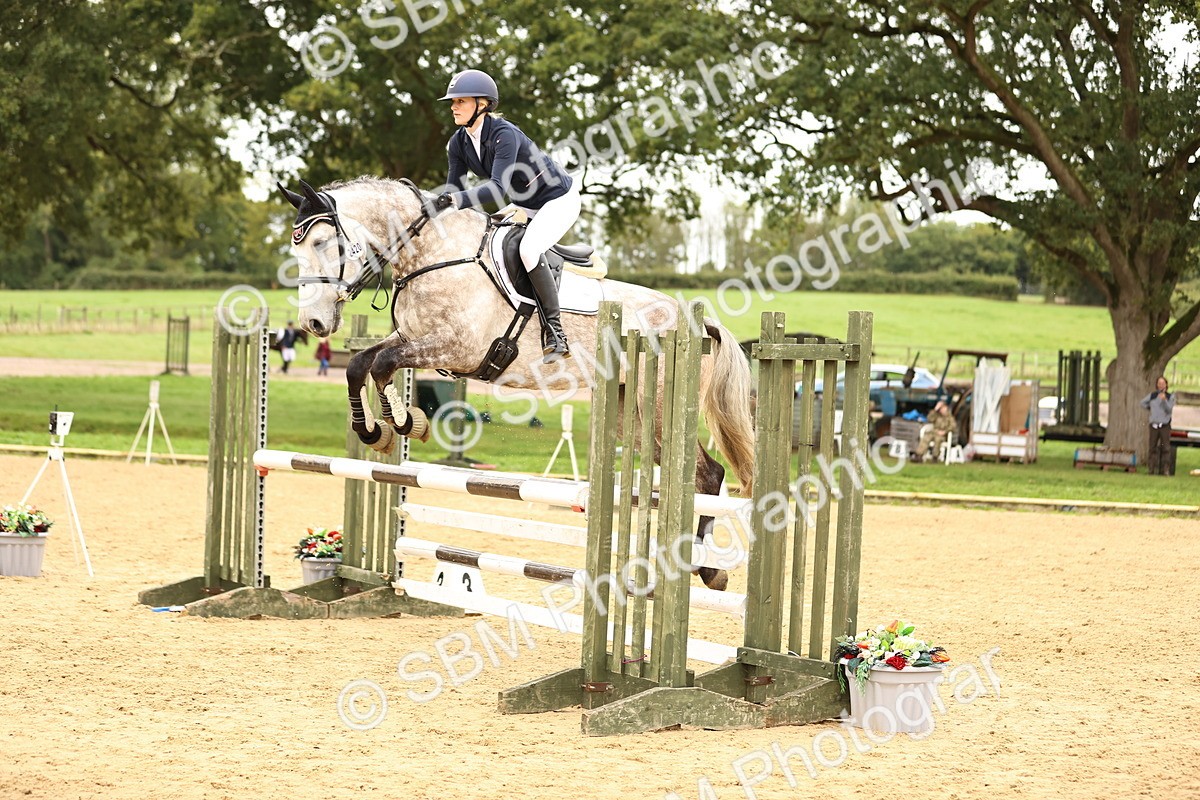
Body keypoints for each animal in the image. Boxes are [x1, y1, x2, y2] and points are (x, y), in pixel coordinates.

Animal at [278, 176, 755, 590]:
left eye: (321, 243)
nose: (313, 323)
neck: (430, 253)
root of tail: (697, 320)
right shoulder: (413, 338)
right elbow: (361, 364)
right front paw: (374, 431)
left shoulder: (455, 348)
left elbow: (382, 365)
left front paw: (404, 422)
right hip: (630, 414)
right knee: (698, 472)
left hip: (656, 406)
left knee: (707, 473)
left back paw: (703, 567)